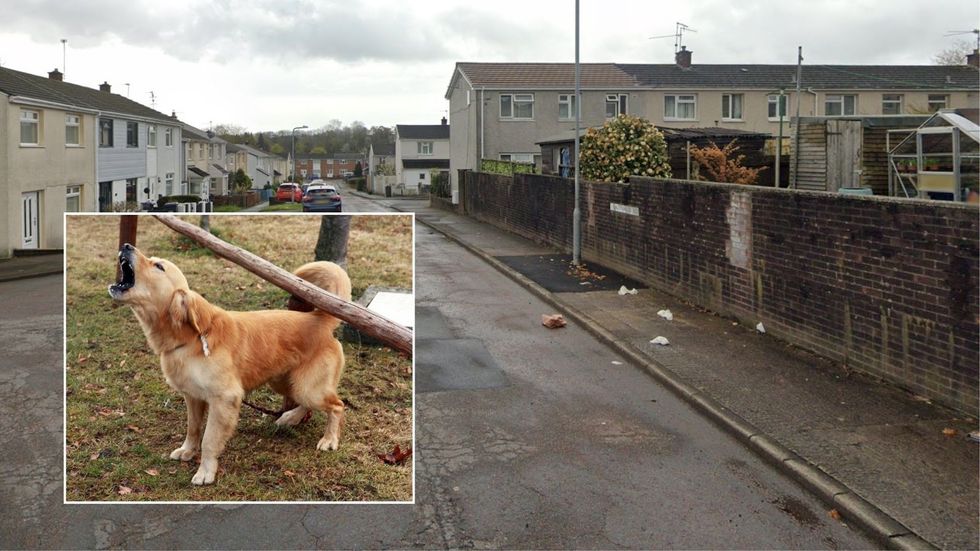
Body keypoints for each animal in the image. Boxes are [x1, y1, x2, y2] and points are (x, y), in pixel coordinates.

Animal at [108, 244, 352, 486]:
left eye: (158, 266)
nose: (126, 246)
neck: (189, 339)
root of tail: (319, 318)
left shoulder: (224, 399)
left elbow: (208, 440)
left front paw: (205, 472)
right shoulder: (193, 397)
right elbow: (193, 429)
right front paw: (187, 451)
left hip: (308, 388)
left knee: (338, 405)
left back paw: (329, 439)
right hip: (285, 382)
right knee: (307, 404)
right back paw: (290, 417)